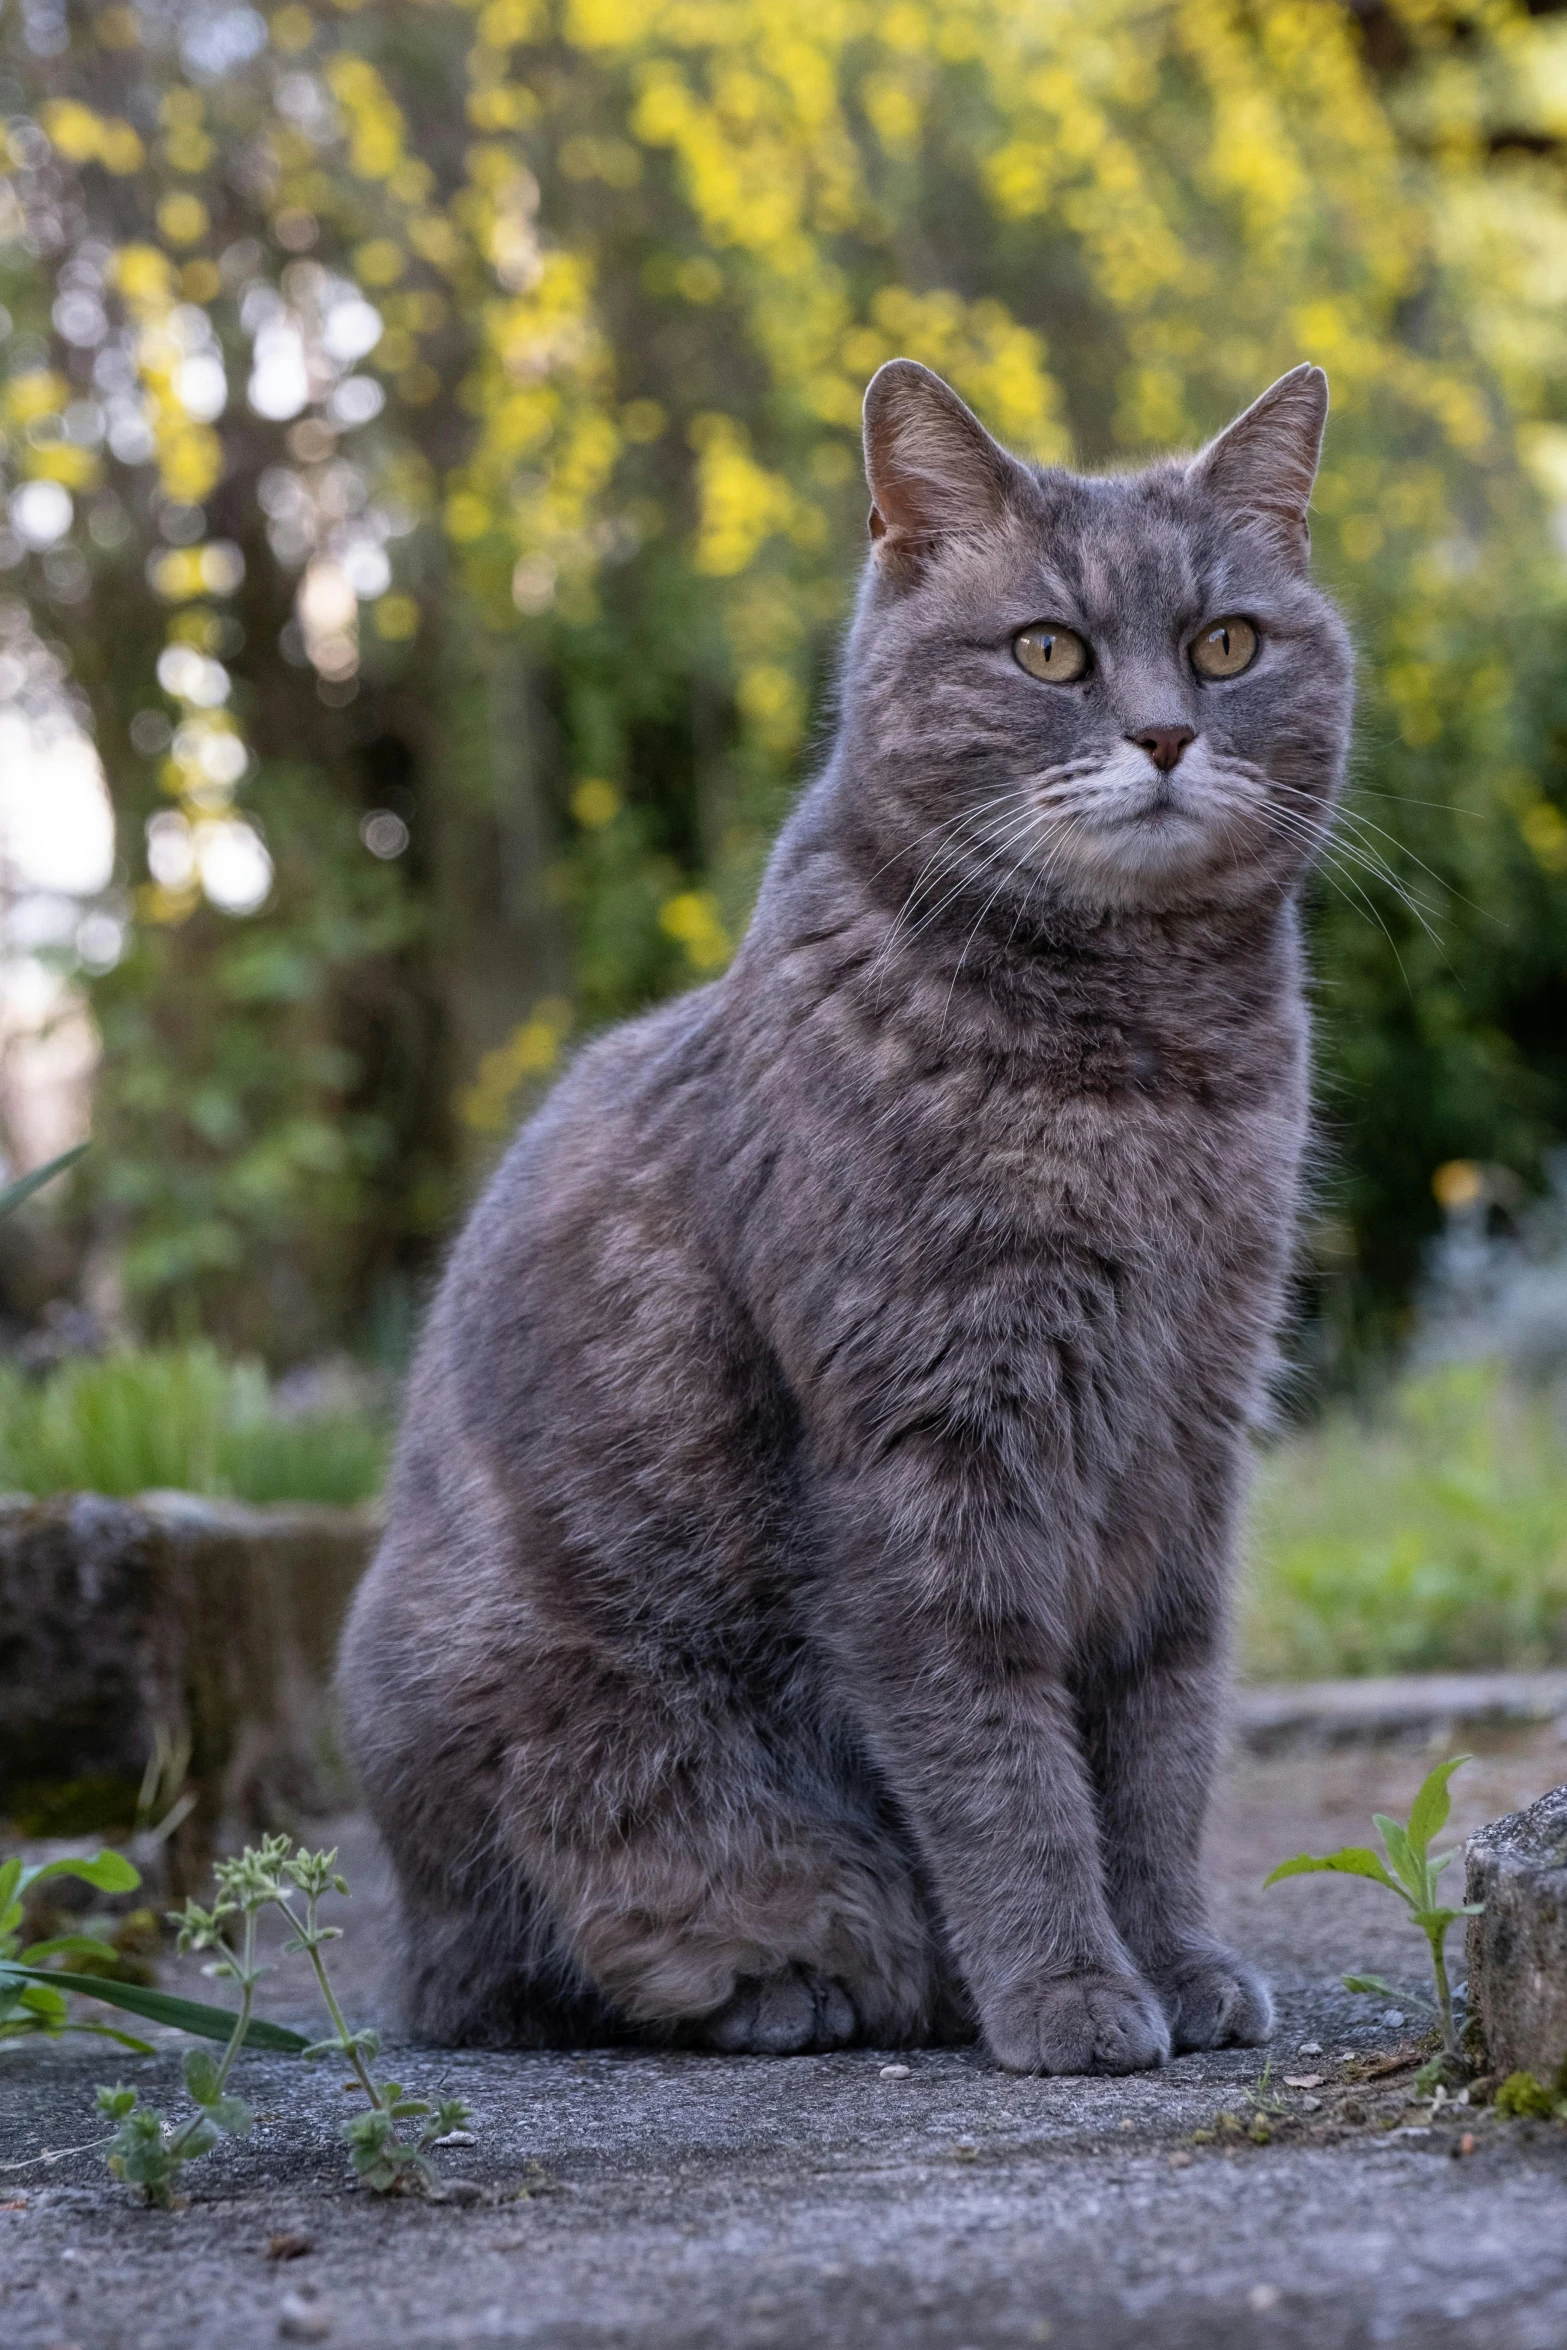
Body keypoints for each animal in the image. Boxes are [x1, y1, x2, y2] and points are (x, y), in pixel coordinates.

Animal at [338, 352, 1353, 2077]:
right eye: (1047, 648)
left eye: (1225, 642)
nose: (1161, 731)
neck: (1141, 1078)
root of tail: (401, 1944)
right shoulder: (922, 1444)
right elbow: (995, 1752)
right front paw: (1069, 1989)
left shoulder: (1183, 1441)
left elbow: (1157, 1739)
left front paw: (1177, 1960)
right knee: (535, 1969)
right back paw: (801, 1985)